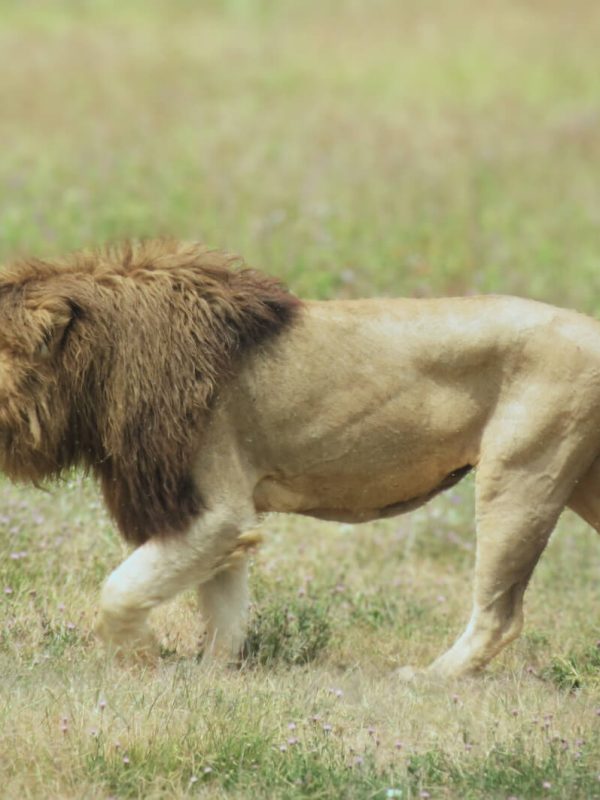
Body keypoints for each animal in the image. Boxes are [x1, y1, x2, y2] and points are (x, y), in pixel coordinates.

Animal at [1, 240, 600, 678]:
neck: (100, 369)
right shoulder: (213, 514)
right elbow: (223, 607)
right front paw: (210, 678)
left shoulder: (216, 508)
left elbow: (120, 591)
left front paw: (140, 662)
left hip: (521, 473)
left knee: (500, 614)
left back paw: (429, 680)